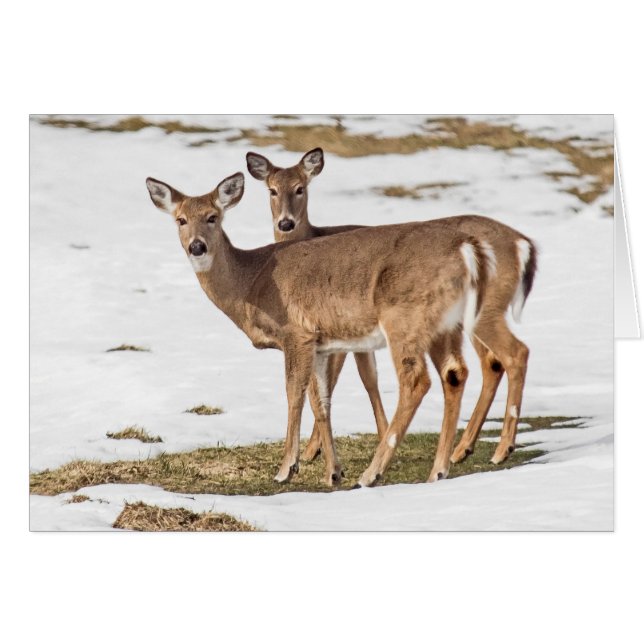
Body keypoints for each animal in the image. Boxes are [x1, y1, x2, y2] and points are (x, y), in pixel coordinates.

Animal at [146, 171, 495, 488]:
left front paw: (287, 468)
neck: (251, 282)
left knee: (416, 380)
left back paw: (372, 474)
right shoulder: (320, 342)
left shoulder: (296, 333)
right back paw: (438, 470)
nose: (197, 247)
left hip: (405, 317)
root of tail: (466, 250)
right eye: (180, 220)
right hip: (446, 323)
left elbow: (293, 394)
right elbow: (321, 400)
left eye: (213, 217)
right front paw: (333, 472)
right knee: (455, 373)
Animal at [246, 148, 537, 466]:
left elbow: (337, 379)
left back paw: (497, 449)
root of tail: (522, 243)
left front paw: (316, 450)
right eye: (272, 190)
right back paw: (464, 449)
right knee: (491, 362)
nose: (285, 223)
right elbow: (364, 378)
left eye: (301, 188)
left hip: (481, 310)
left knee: (509, 355)